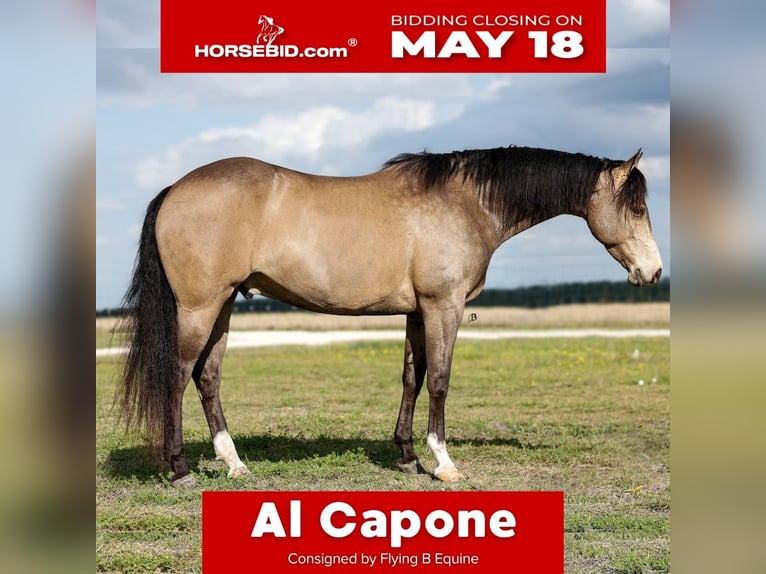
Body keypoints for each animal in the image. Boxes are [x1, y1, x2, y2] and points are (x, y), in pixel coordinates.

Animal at [117, 145, 662, 487]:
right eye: (636, 209)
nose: (653, 272)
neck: (466, 203)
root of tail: (175, 188)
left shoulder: (418, 312)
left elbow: (412, 378)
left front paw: (407, 456)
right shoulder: (445, 307)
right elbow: (439, 379)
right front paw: (443, 462)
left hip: (225, 304)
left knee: (207, 378)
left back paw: (234, 464)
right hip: (200, 307)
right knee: (176, 377)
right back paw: (180, 469)